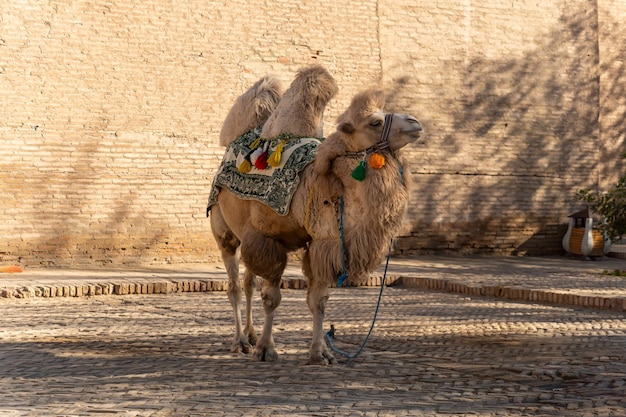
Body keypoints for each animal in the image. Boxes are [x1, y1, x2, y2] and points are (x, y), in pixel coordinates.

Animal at [207, 66, 422, 364]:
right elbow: (271, 298)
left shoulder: (322, 243)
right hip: (224, 231)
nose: (415, 122)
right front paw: (266, 349)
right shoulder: (268, 238)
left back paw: (250, 335)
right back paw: (240, 341)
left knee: (249, 282)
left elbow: (318, 300)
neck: (317, 184)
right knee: (235, 286)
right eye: (375, 122)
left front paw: (321, 353)